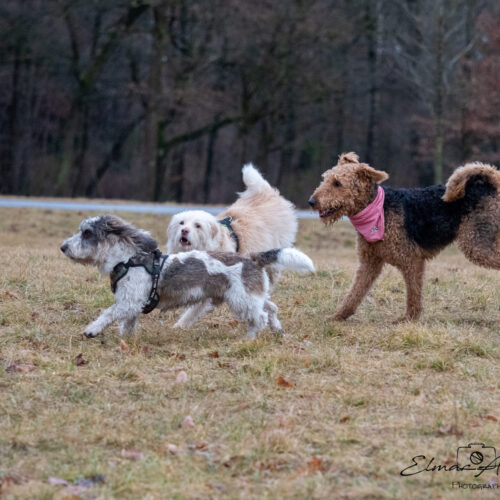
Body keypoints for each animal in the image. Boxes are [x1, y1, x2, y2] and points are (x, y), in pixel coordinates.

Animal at [60, 215, 314, 340]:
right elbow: (127, 324)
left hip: (242, 301)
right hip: (253, 297)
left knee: (259, 318)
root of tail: (252, 257)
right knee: (271, 308)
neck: (128, 260)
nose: (63, 247)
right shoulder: (132, 305)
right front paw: (125, 338)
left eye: (86, 233)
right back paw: (277, 330)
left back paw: (249, 339)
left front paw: (92, 330)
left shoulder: (128, 302)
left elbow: (107, 314)